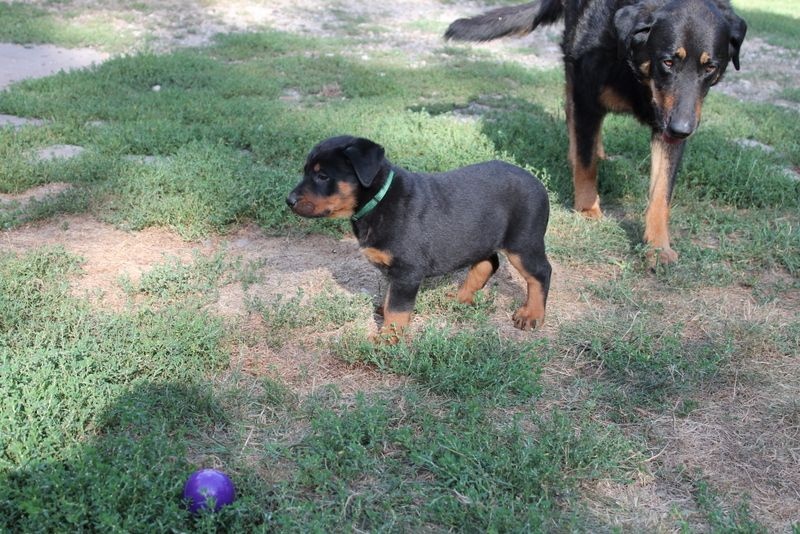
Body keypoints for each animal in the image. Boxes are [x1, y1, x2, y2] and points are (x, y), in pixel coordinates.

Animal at [286, 135, 552, 344]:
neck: (379, 199)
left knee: (540, 272)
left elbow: (397, 308)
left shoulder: (407, 270)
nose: (289, 200)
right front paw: (384, 313)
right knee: (488, 262)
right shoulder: (396, 271)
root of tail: (537, 182)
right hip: (482, 236)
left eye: (322, 176)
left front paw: (387, 338)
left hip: (523, 242)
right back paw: (461, 297)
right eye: (306, 171)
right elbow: (390, 298)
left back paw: (531, 315)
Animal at [446, 0, 748, 266]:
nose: (682, 130)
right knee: (572, 115)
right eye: (668, 62)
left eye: (710, 67)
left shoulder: (671, 120)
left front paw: (657, 246)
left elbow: (661, 193)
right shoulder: (587, 96)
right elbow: (586, 160)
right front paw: (588, 209)